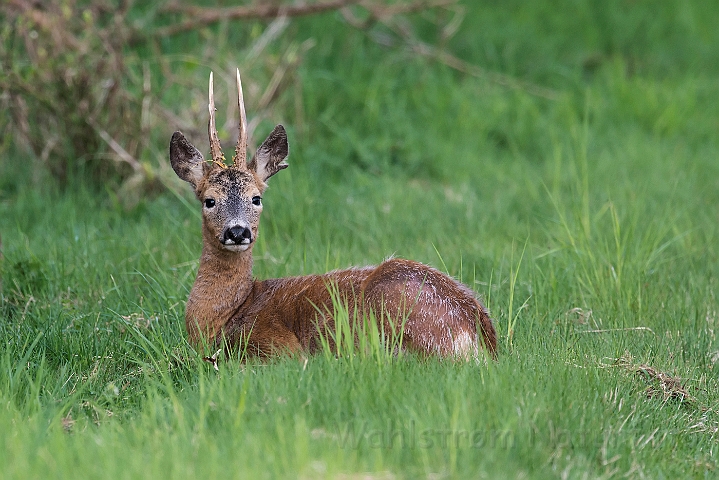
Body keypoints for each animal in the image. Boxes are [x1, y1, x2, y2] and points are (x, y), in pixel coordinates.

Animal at [169, 69, 498, 358]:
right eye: (209, 201)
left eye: (256, 198)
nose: (238, 232)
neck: (227, 315)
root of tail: (478, 336)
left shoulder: (277, 347)